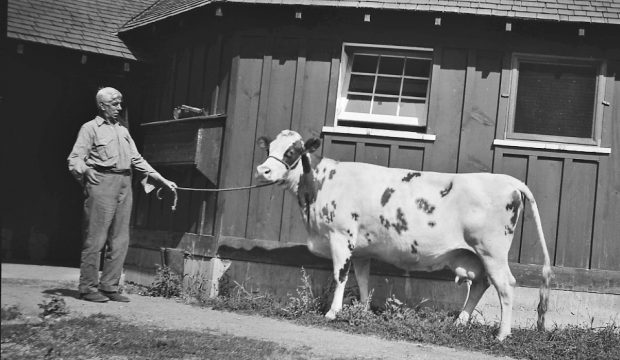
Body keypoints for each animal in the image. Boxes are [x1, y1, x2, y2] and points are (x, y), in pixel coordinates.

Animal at [256, 129, 552, 340]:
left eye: (292, 151)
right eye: (269, 149)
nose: (263, 170)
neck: (320, 183)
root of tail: (509, 180)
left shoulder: (341, 237)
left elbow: (340, 276)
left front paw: (332, 312)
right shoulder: (361, 248)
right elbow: (362, 280)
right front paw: (363, 310)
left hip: (492, 250)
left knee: (505, 285)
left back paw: (502, 334)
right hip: (474, 254)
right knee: (481, 283)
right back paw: (459, 322)